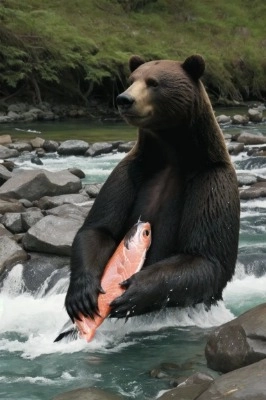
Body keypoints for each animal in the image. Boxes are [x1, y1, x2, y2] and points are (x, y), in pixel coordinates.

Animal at [65, 54, 241, 322]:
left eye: (153, 82)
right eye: (131, 79)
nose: (124, 99)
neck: (171, 154)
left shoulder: (212, 180)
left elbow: (204, 256)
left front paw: (134, 291)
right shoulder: (131, 171)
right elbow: (98, 228)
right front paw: (82, 295)